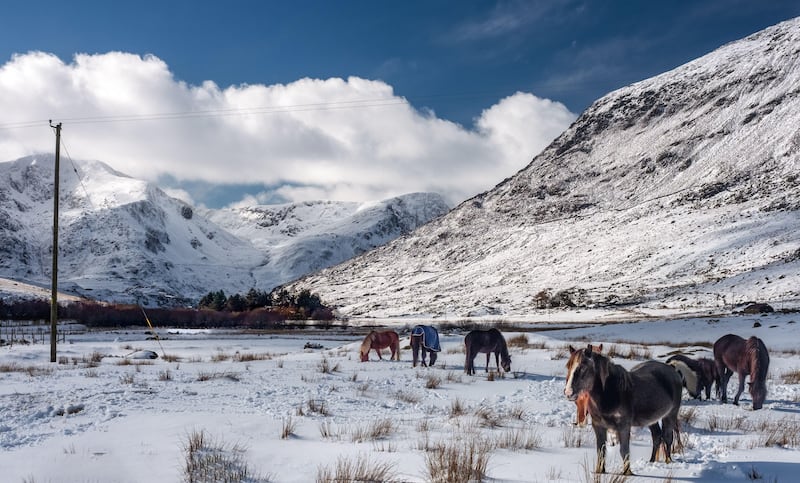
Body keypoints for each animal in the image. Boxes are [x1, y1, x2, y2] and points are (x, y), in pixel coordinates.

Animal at [564, 344, 680, 476]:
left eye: (583, 367)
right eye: (568, 366)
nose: (568, 392)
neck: (610, 394)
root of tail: (673, 370)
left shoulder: (623, 426)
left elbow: (624, 450)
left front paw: (627, 473)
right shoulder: (598, 426)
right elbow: (601, 450)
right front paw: (600, 472)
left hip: (670, 414)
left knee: (667, 437)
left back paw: (668, 461)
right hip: (652, 420)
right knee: (657, 436)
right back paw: (651, 461)